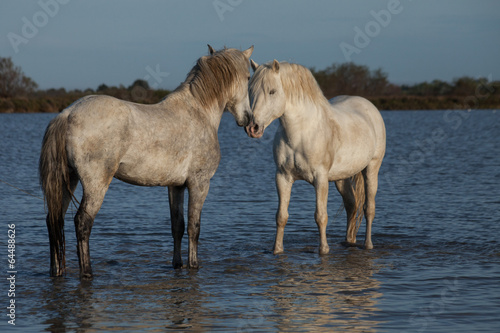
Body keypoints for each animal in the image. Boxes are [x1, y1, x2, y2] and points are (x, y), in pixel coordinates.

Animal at [39, 44, 254, 278]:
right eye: (248, 77)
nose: (249, 120)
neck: (199, 112)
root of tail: (68, 114)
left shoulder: (175, 186)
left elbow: (177, 226)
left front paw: (177, 264)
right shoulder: (200, 183)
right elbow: (194, 227)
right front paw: (194, 265)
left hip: (68, 180)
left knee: (54, 219)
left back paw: (56, 270)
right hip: (95, 185)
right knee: (82, 222)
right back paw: (87, 272)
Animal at [246, 59, 386, 253]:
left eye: (272, 91)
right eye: (250, 91)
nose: (253, 128)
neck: (301, 133)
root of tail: (370, 107)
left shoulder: (320, 179)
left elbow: (321, 216)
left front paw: (324, 249)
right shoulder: (282, 177)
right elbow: (281, 216)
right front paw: (277, 250)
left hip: (371, 169)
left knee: (369, 208)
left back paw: (368, 245)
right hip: (341, 178)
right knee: (352, 205)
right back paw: (349, 241)